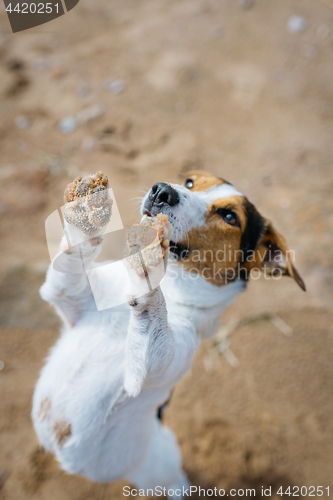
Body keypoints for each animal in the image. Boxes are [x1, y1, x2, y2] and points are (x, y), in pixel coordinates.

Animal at [31, 171, 304, 496]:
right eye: (190, 182)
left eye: (229, 216)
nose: (161, 191)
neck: (173, 289)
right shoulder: (66, 297)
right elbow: (72, 261)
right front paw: (87, 204)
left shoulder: (156, 365)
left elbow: (154, 322)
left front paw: (148, 262)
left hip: (163, 460)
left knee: (173, 480)